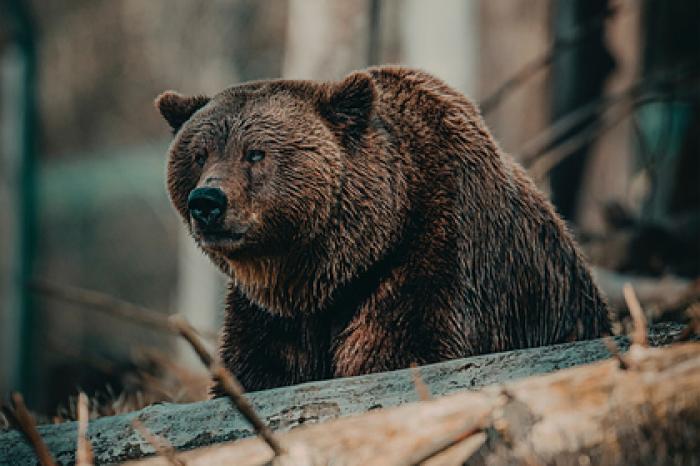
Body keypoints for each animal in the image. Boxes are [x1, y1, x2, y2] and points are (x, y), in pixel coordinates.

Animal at [156, 65, 608, 392]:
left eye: (255, 153)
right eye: (199, 154)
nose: (207, 202)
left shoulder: (434, 253)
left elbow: (402, 348)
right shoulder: (272, 314)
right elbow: (257, 369)